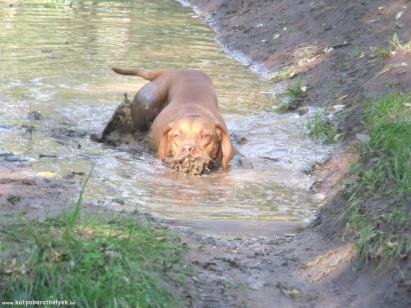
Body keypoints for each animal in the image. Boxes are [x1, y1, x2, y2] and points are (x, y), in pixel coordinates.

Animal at [100, 68, 235, 173]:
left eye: (205, 136)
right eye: (176, 136)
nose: (188, 148)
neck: (194, 112)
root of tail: (171, 71)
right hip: (147, 102)